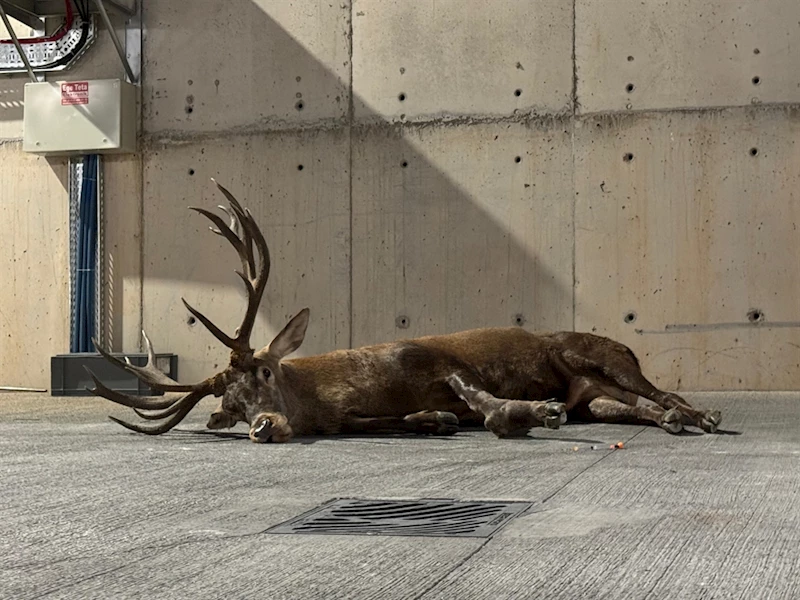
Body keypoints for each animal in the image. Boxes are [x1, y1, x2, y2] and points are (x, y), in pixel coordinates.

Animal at [86, 180, 720, 442]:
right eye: (230, 407)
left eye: (264, 372)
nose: (262, 427)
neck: (343, 391)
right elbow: (398, 420)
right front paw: (434, 419)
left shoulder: (436, 361)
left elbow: (481, 400)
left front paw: (530, 412)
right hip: (596, 396)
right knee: (634, 407)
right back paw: (670, 420)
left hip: (605, 358)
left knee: (662, 390)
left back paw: (703, 415)